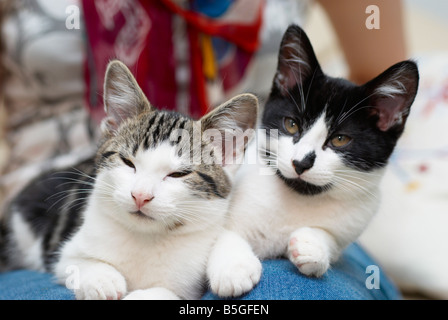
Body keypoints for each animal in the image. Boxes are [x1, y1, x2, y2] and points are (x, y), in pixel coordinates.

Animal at [0, 60, 260, 300]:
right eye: (127, 162)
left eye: (178, 174)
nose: (140, 196)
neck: (145, 237)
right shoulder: (63, 253)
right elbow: (74, 262)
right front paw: (102, 279)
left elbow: (161, 292)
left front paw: (234, 266)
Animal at [207, 25, 420, 298]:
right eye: (291, 124)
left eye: (340, 139)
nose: (301, 163)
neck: (300, 197)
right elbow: (221, 231)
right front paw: (233, 267)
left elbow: (331, 239)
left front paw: (313, 245)